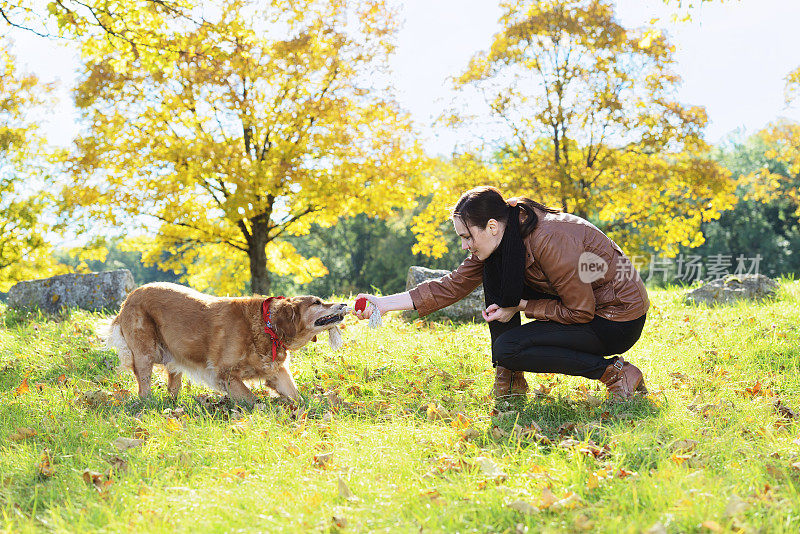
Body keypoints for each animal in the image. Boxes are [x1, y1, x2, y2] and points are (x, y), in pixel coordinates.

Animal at [104, 284, 346, 402]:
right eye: (317, 302)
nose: (344, 304)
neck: (267, 326)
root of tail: (128, 298)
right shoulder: (225, 374)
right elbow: (252, 400)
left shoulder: (277, 373)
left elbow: (297, 397)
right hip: (144, 353)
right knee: (144, 386)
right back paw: (149, 404)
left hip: (174, 357)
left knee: (173, 385)